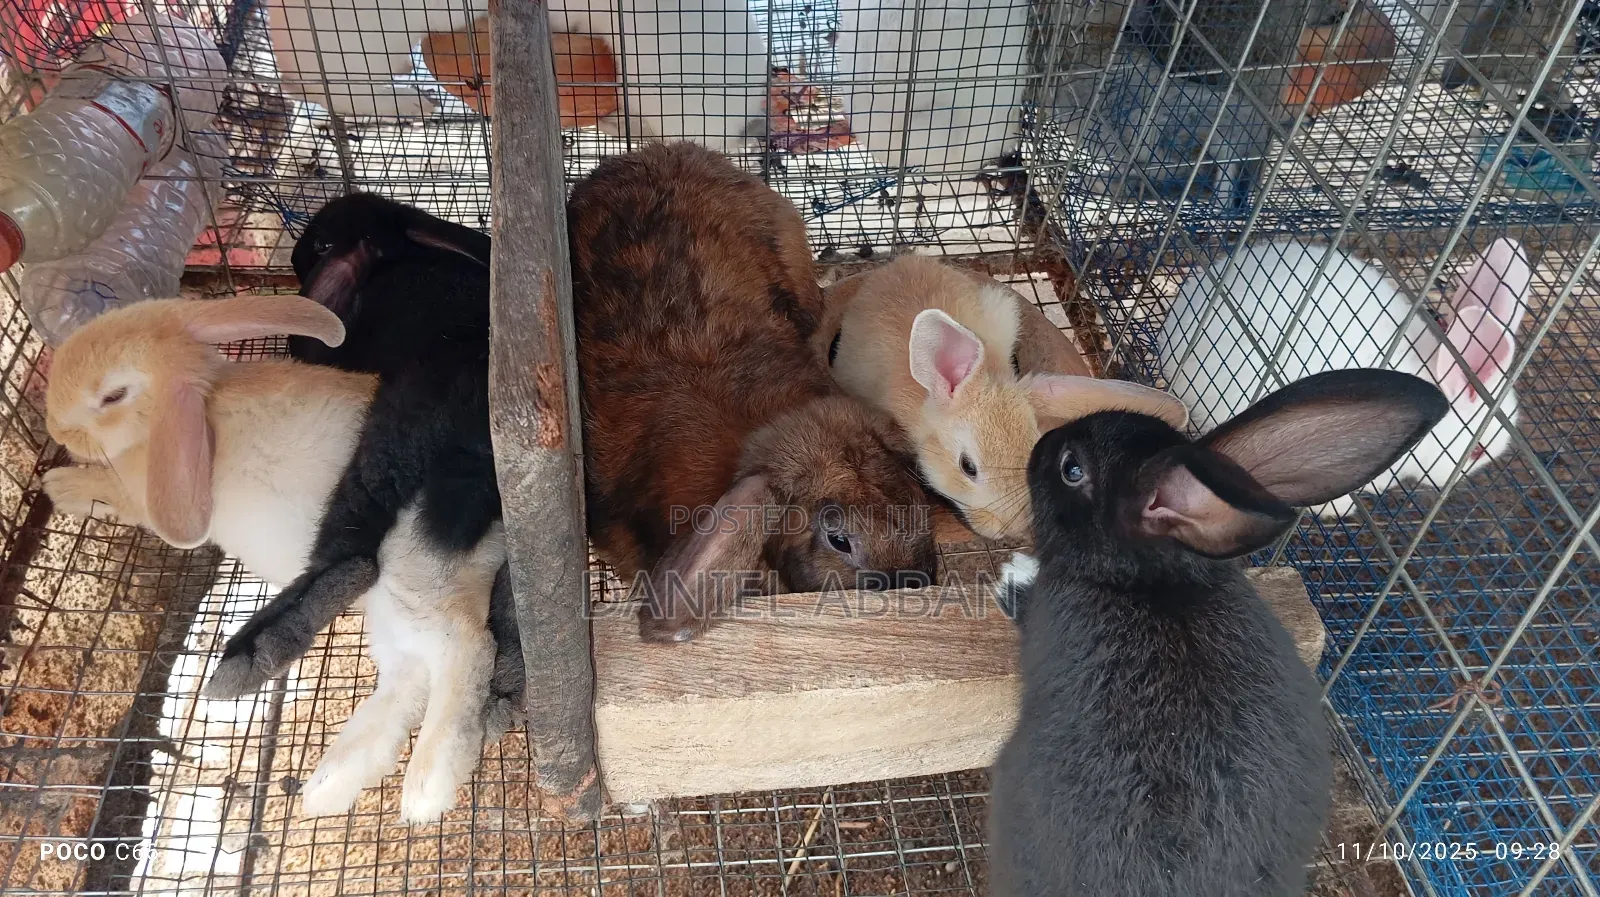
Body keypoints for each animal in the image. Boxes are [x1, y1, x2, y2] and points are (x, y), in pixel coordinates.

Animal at [41, 296, 504, 823]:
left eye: (112, 395)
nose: (55, 428)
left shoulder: (139, 494)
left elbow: (109, 490)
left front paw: (59, 485)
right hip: (386, 605)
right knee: (409, 676)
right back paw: (330, 783)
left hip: (410, 568)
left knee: (464, 646)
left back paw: (427, 784)